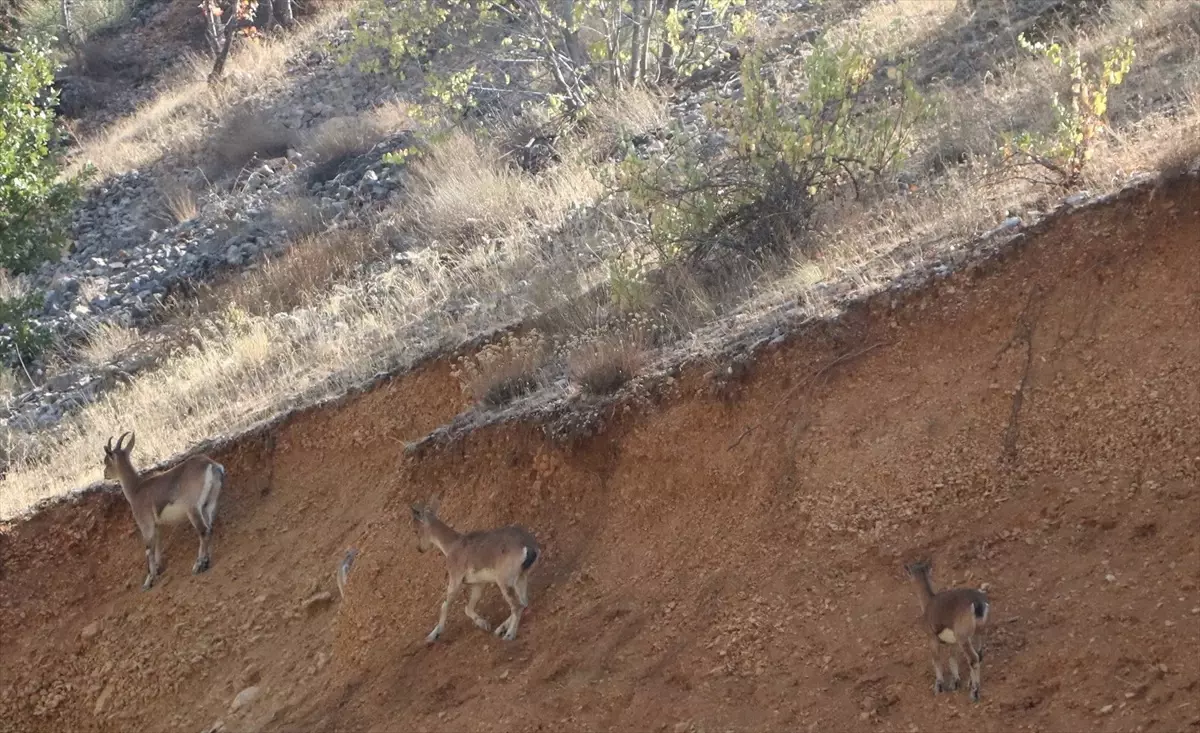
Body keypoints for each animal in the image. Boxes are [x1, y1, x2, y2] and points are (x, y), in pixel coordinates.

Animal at [102, 431, 225, 592]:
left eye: (106, 461)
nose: (105, 474)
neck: (136, 489)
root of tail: (210, 464)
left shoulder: (146, 525)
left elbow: (149, 549)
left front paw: (148, 581)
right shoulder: (156, 525)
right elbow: (157, 546)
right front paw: (158, 570)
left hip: (193, 508)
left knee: (203, 531)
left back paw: (198, 565)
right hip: (208, 505)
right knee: (210, 528)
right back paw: (206, 562)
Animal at [412, 501, 544, 643]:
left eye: (416, 531)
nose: (419, 549)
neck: (451, 546)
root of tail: (529, 547)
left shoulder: (455, 578)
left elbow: (445, 605)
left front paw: (432, 636)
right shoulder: (478, 584)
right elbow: (468, 607)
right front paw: (484, 624)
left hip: (504, 581)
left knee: (517, 605)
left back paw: (509, 635)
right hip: (521, 577)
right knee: (524, 602)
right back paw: (500, 629)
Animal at [902, 561, 988, 705]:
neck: (928, 603)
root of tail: (977, 604)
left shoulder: (932, 638)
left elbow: (936, 660)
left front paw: (939, 686)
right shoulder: (952, 642)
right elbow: (952, 659)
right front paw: (955, 683)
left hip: (963, 638)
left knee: (973, 658)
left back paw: (974, 693)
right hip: (976, 635)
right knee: (978, 655)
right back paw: (970, 683)